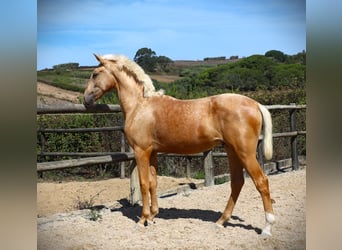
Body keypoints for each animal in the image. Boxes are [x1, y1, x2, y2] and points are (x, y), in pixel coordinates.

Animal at [84, 53, 276, 235]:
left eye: (95, 73)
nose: (86, 100)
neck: (140, 105)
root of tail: (255, 104)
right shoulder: (153, 152)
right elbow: (153, 183)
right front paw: (152, 217)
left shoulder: (141, 151)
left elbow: (144, 183)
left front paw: (142, 220)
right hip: (232, 151)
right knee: (237, 182)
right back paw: (221, 222)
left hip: (245, 153)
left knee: (261, 181)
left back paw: (267, 227)